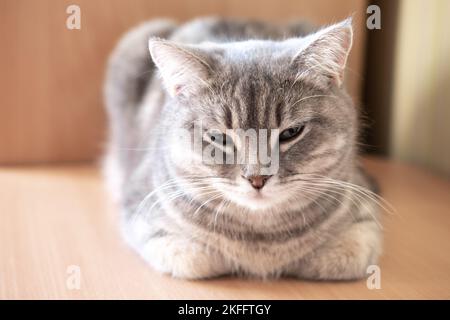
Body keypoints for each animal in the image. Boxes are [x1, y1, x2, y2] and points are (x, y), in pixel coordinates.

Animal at [103, 16, 382, 278]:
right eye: (220, 138)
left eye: (291, 133)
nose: (257, 178)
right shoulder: (144, 211)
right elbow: (194, 259)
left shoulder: (363, 215)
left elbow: (345, 255)